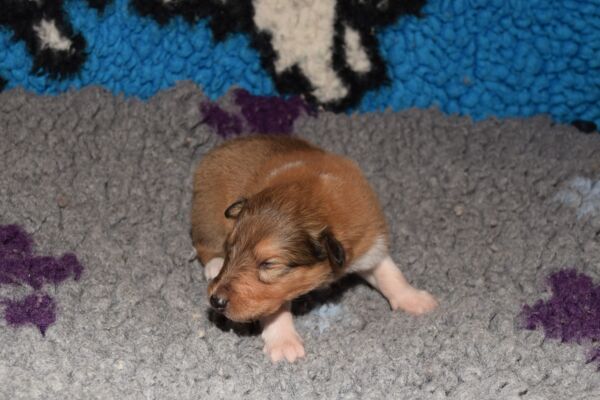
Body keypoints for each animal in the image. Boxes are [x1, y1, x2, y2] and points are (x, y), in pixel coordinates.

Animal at [191, 135, 438, 362]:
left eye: (269, 264)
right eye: (230, 249)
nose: (215, 301)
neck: (316, 202)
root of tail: (223, 147)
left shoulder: (369, 242)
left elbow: (390, 273)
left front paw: (415, 300)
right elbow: (274, 307)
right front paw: (284, 344)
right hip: (209, 214)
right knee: (202, 243)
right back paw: (214, 265)